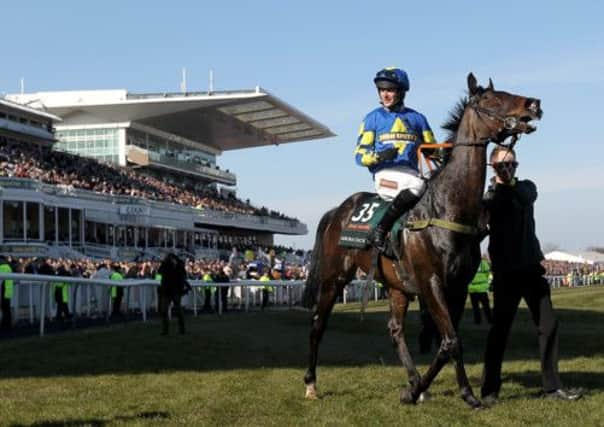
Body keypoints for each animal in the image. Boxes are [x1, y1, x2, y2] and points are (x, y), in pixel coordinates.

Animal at [302, 73, 544, 408]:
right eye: (491, 99)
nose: (533, 104)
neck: (446, 208)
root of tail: (336, 211)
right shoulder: (431, 282)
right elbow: (451, 340)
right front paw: (443, 392)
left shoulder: (457, 286)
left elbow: (449, 341)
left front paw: (451, 392)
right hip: (334, 277)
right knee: (317, 324)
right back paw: (311, 384)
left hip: (396, 285)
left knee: (395, 329)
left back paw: (414, 380)